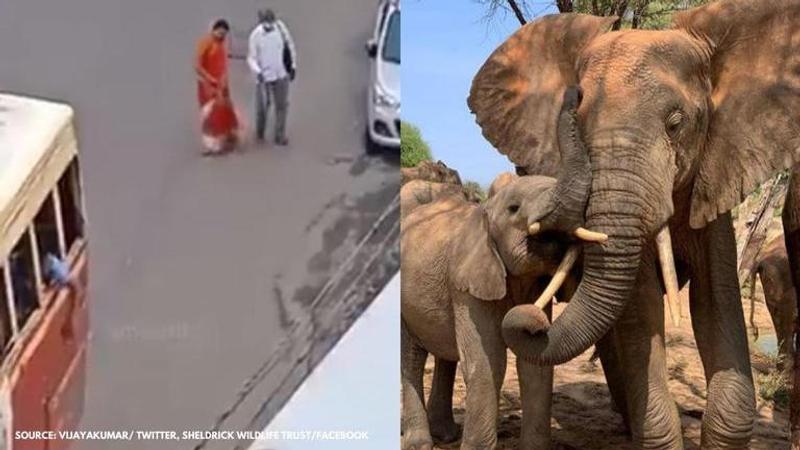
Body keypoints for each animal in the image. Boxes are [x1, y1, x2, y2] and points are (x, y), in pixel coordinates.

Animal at [404, 175, 580, 450]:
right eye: (514, 208)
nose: (536, 320)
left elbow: (535, 363)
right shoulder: (467, 283)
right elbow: (489, 362)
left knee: (445, 354)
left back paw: (445, 435)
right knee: (411, 358)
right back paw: (420, 444)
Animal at [466, 1, 800, 448]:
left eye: (676, 124)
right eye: (579, 123)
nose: (571, 97)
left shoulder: (711, 178)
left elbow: (715, 299)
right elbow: (641, 309)